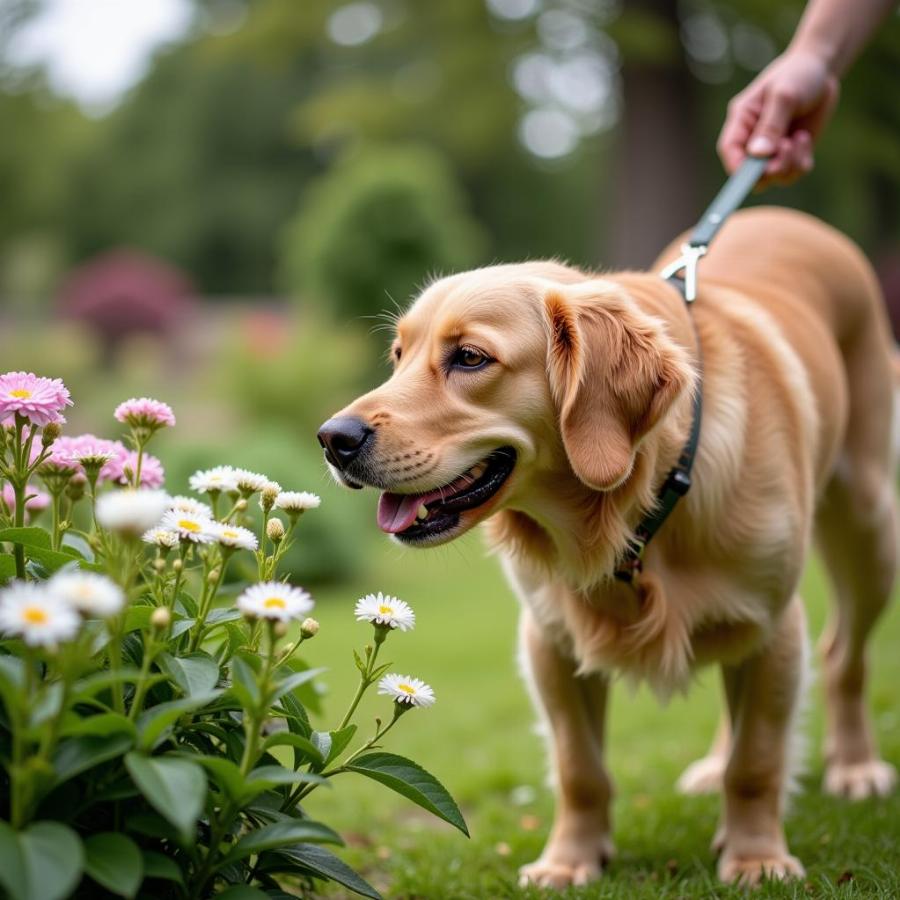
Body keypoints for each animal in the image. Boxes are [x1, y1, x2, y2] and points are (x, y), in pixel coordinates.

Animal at [316, 209, 892, 884]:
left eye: (469, 357)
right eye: (398, 356)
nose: (332, 438)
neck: (639, 505)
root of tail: (782, 214)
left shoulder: (776, 626)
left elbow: (756, 760)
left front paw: (757, 857)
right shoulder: (549, 640)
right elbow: (580, 768)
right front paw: (569, 861)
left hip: (870, 527)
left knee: (844, 655)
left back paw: (855, 767)